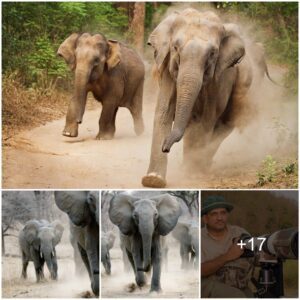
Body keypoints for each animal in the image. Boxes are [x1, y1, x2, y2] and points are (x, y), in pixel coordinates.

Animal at [141, 8, 268, 188]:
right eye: (175, 47)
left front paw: (191, 173)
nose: (165, 147)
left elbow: (206, 119)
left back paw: (200, 166)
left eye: (212, 53)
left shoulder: (219, 79)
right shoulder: (168, 70)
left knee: (224, 123)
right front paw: (153, 180)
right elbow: (163, 113)